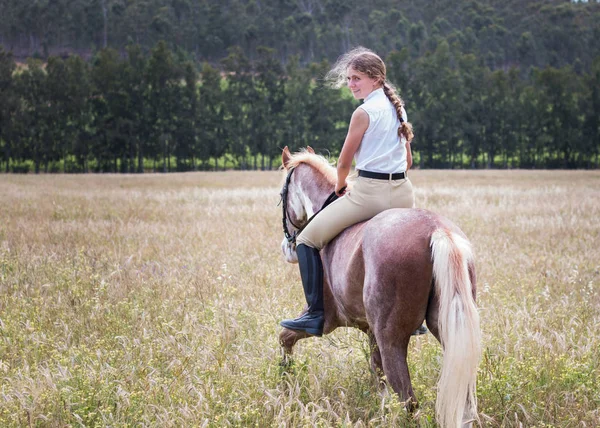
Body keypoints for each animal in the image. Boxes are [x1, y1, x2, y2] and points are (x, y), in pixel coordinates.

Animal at [278, 145, 482, 426]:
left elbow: (285, 336)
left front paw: (286, 378)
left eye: (281, 195)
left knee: (409, 401)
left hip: (391, 338)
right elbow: (379, 377)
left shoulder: (330, 319)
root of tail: (437, 230)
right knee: (465, 402)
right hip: (447, 327)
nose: (287, 249)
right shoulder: (369, 329)